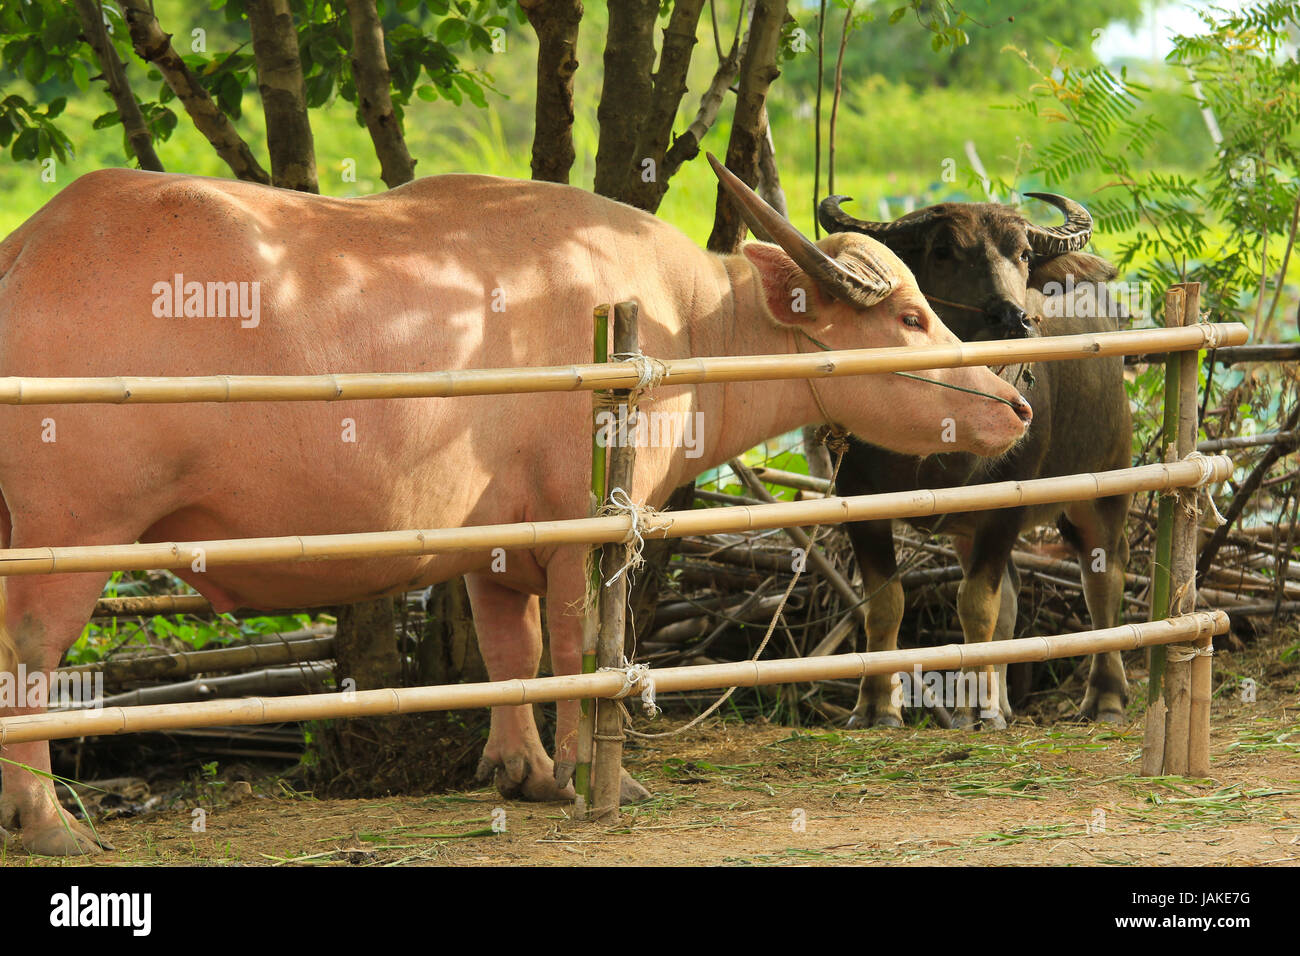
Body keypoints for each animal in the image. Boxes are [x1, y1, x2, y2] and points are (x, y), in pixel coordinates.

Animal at [2, 155, 1034, 853]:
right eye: (909, 316)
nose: (1015, 401)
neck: (684, 321)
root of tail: (25, 254)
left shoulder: (497, 545)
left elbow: (512, 651)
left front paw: (523, 770)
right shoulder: (583, 530)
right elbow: (575, 647)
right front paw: (589, 774)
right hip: (74, 535)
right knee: (33, 659)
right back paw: (47, 822)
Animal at [821, 196, 1138, 733]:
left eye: (1025, 254)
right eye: (943, 251)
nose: (1014, 318)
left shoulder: (1006, 506)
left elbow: (977, 605)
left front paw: (974, 710)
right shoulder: (858, 497)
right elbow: (885, 603)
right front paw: (877, 707)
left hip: (1105, 486)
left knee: (1103, 581)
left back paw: (1105, 698)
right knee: (1013, 595)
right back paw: (1000, 702)